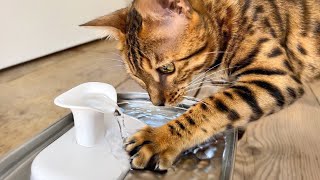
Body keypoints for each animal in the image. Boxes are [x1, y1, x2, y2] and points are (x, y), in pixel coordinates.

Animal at [82, 0, 320, 170]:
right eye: (137, 77)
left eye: (167, 68)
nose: (157, 104)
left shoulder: (275, 76)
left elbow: (213, 106)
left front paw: (160, 139)